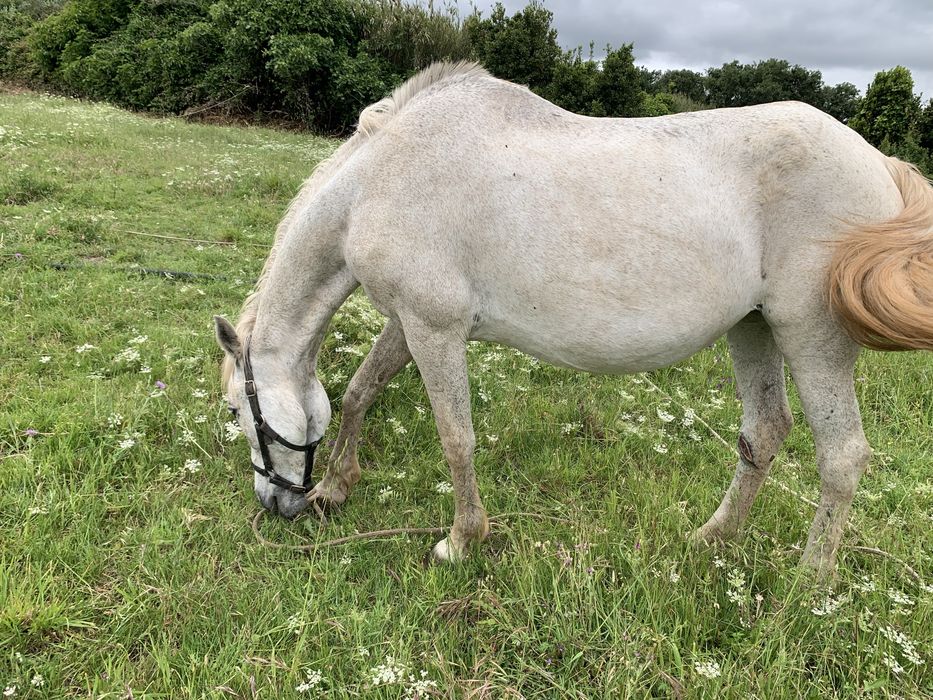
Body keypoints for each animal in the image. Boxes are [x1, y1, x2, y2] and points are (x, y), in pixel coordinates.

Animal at [214, 62, 933, 576]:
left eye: (234, 410)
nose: (275, 503)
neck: (379, 178)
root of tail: (876, 160)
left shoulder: (433, 329)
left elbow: (455, 438)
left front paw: (459, 540)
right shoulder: (410, 321)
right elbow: (361, 391)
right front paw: (337, 489)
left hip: (811, 337)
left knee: (841, 457)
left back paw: (809, 581)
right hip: (751, 327)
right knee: (763, 432)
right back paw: (711, 536)